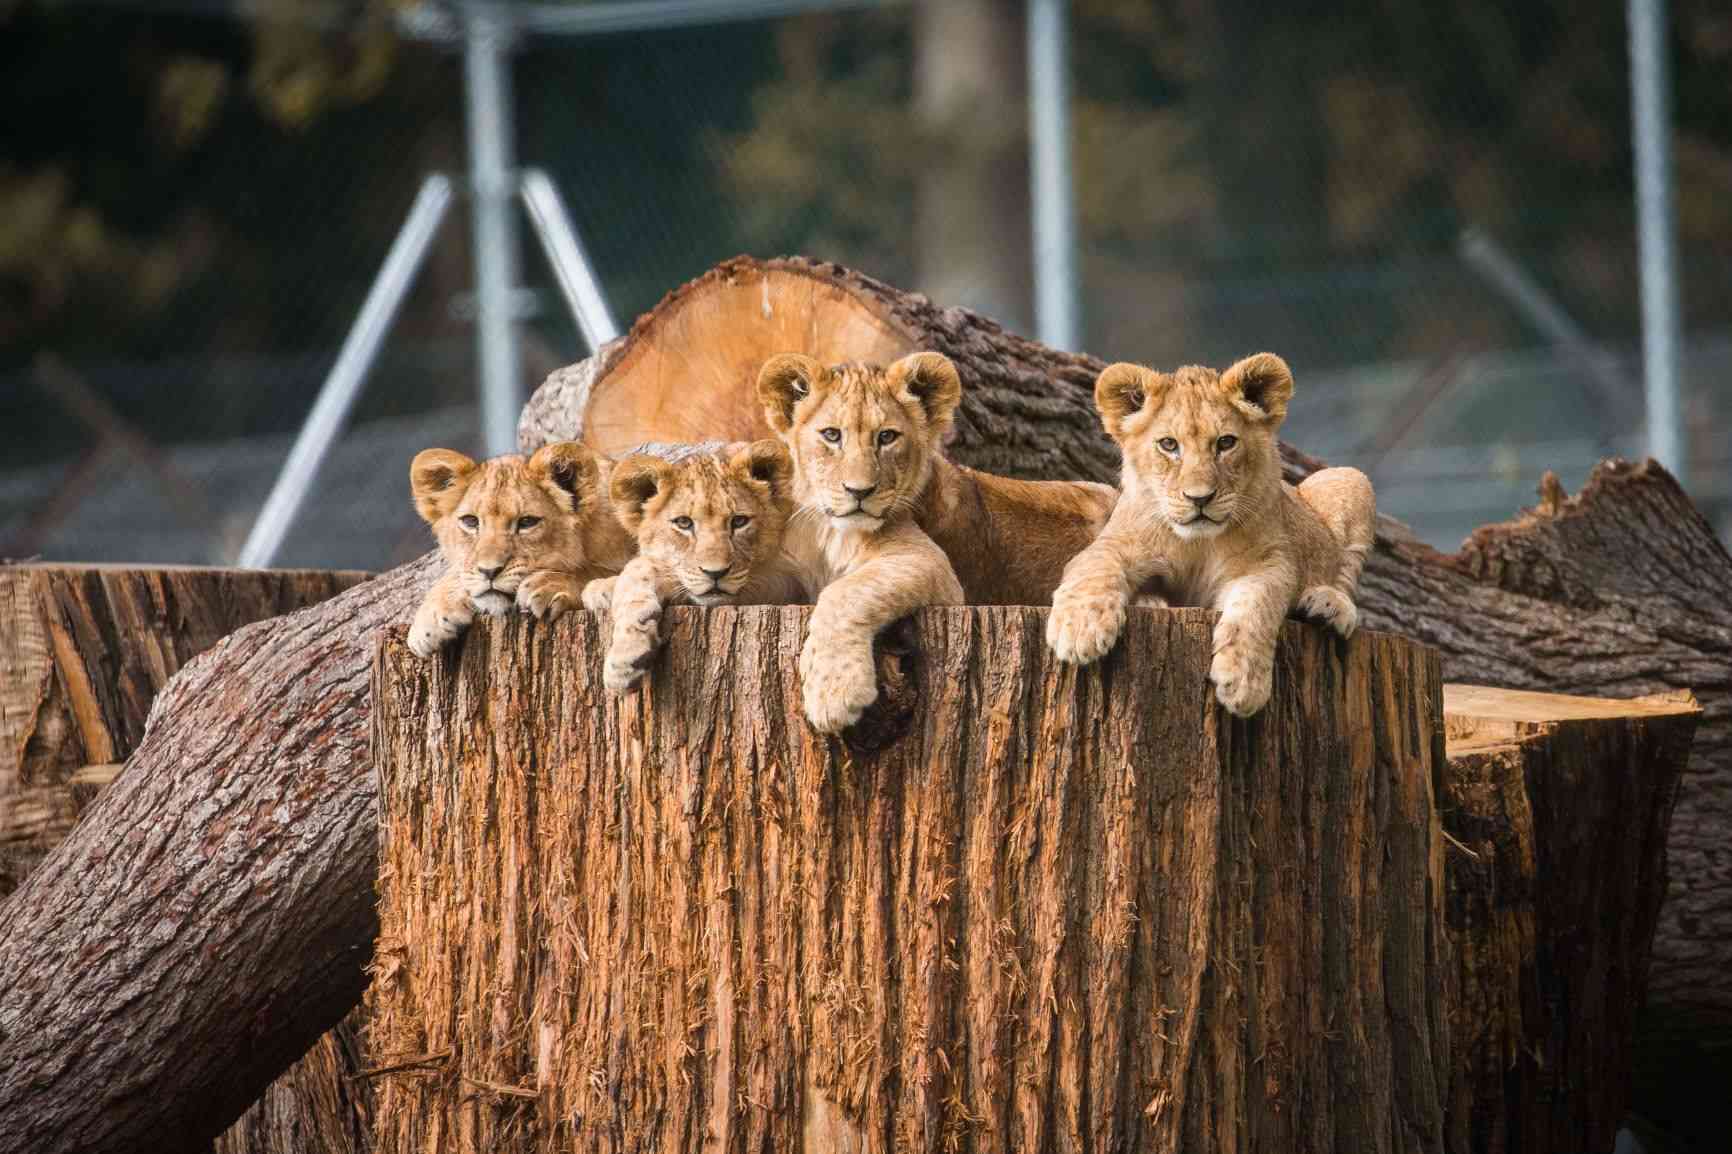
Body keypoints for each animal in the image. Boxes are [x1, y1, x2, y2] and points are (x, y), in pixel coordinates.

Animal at [406, 441, 633, 658]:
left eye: (527, 522)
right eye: (470, 521)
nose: (489, 571)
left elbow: (597, 570)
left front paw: (549, 584)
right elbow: (456, 572)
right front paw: (430, 618)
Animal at [580, 439, 806, 693]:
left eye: (739, 521)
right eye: (683, 523)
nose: (715, 573)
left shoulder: (788, 584)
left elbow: (641, 565)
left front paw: (621, 662)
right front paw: (602, 590)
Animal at [756, 351, 968, 733]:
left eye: (887, 437)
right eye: (831, 435)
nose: (859, 491)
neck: (829, 535)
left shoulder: (933, 565)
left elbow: (845, 592)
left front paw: (834, 690)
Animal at [1045, 353, 1375, 717]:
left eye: (1226, 442)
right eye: (1169, 445)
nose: (1199, 498)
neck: (1198, 544)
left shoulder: (1270, 564)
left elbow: (1256, 606)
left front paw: (1243, 682)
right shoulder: (1116, 542)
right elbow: (1095, 568)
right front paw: (1080, 630)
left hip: (1348, 479)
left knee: (1344, 576)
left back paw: (1329, 606)